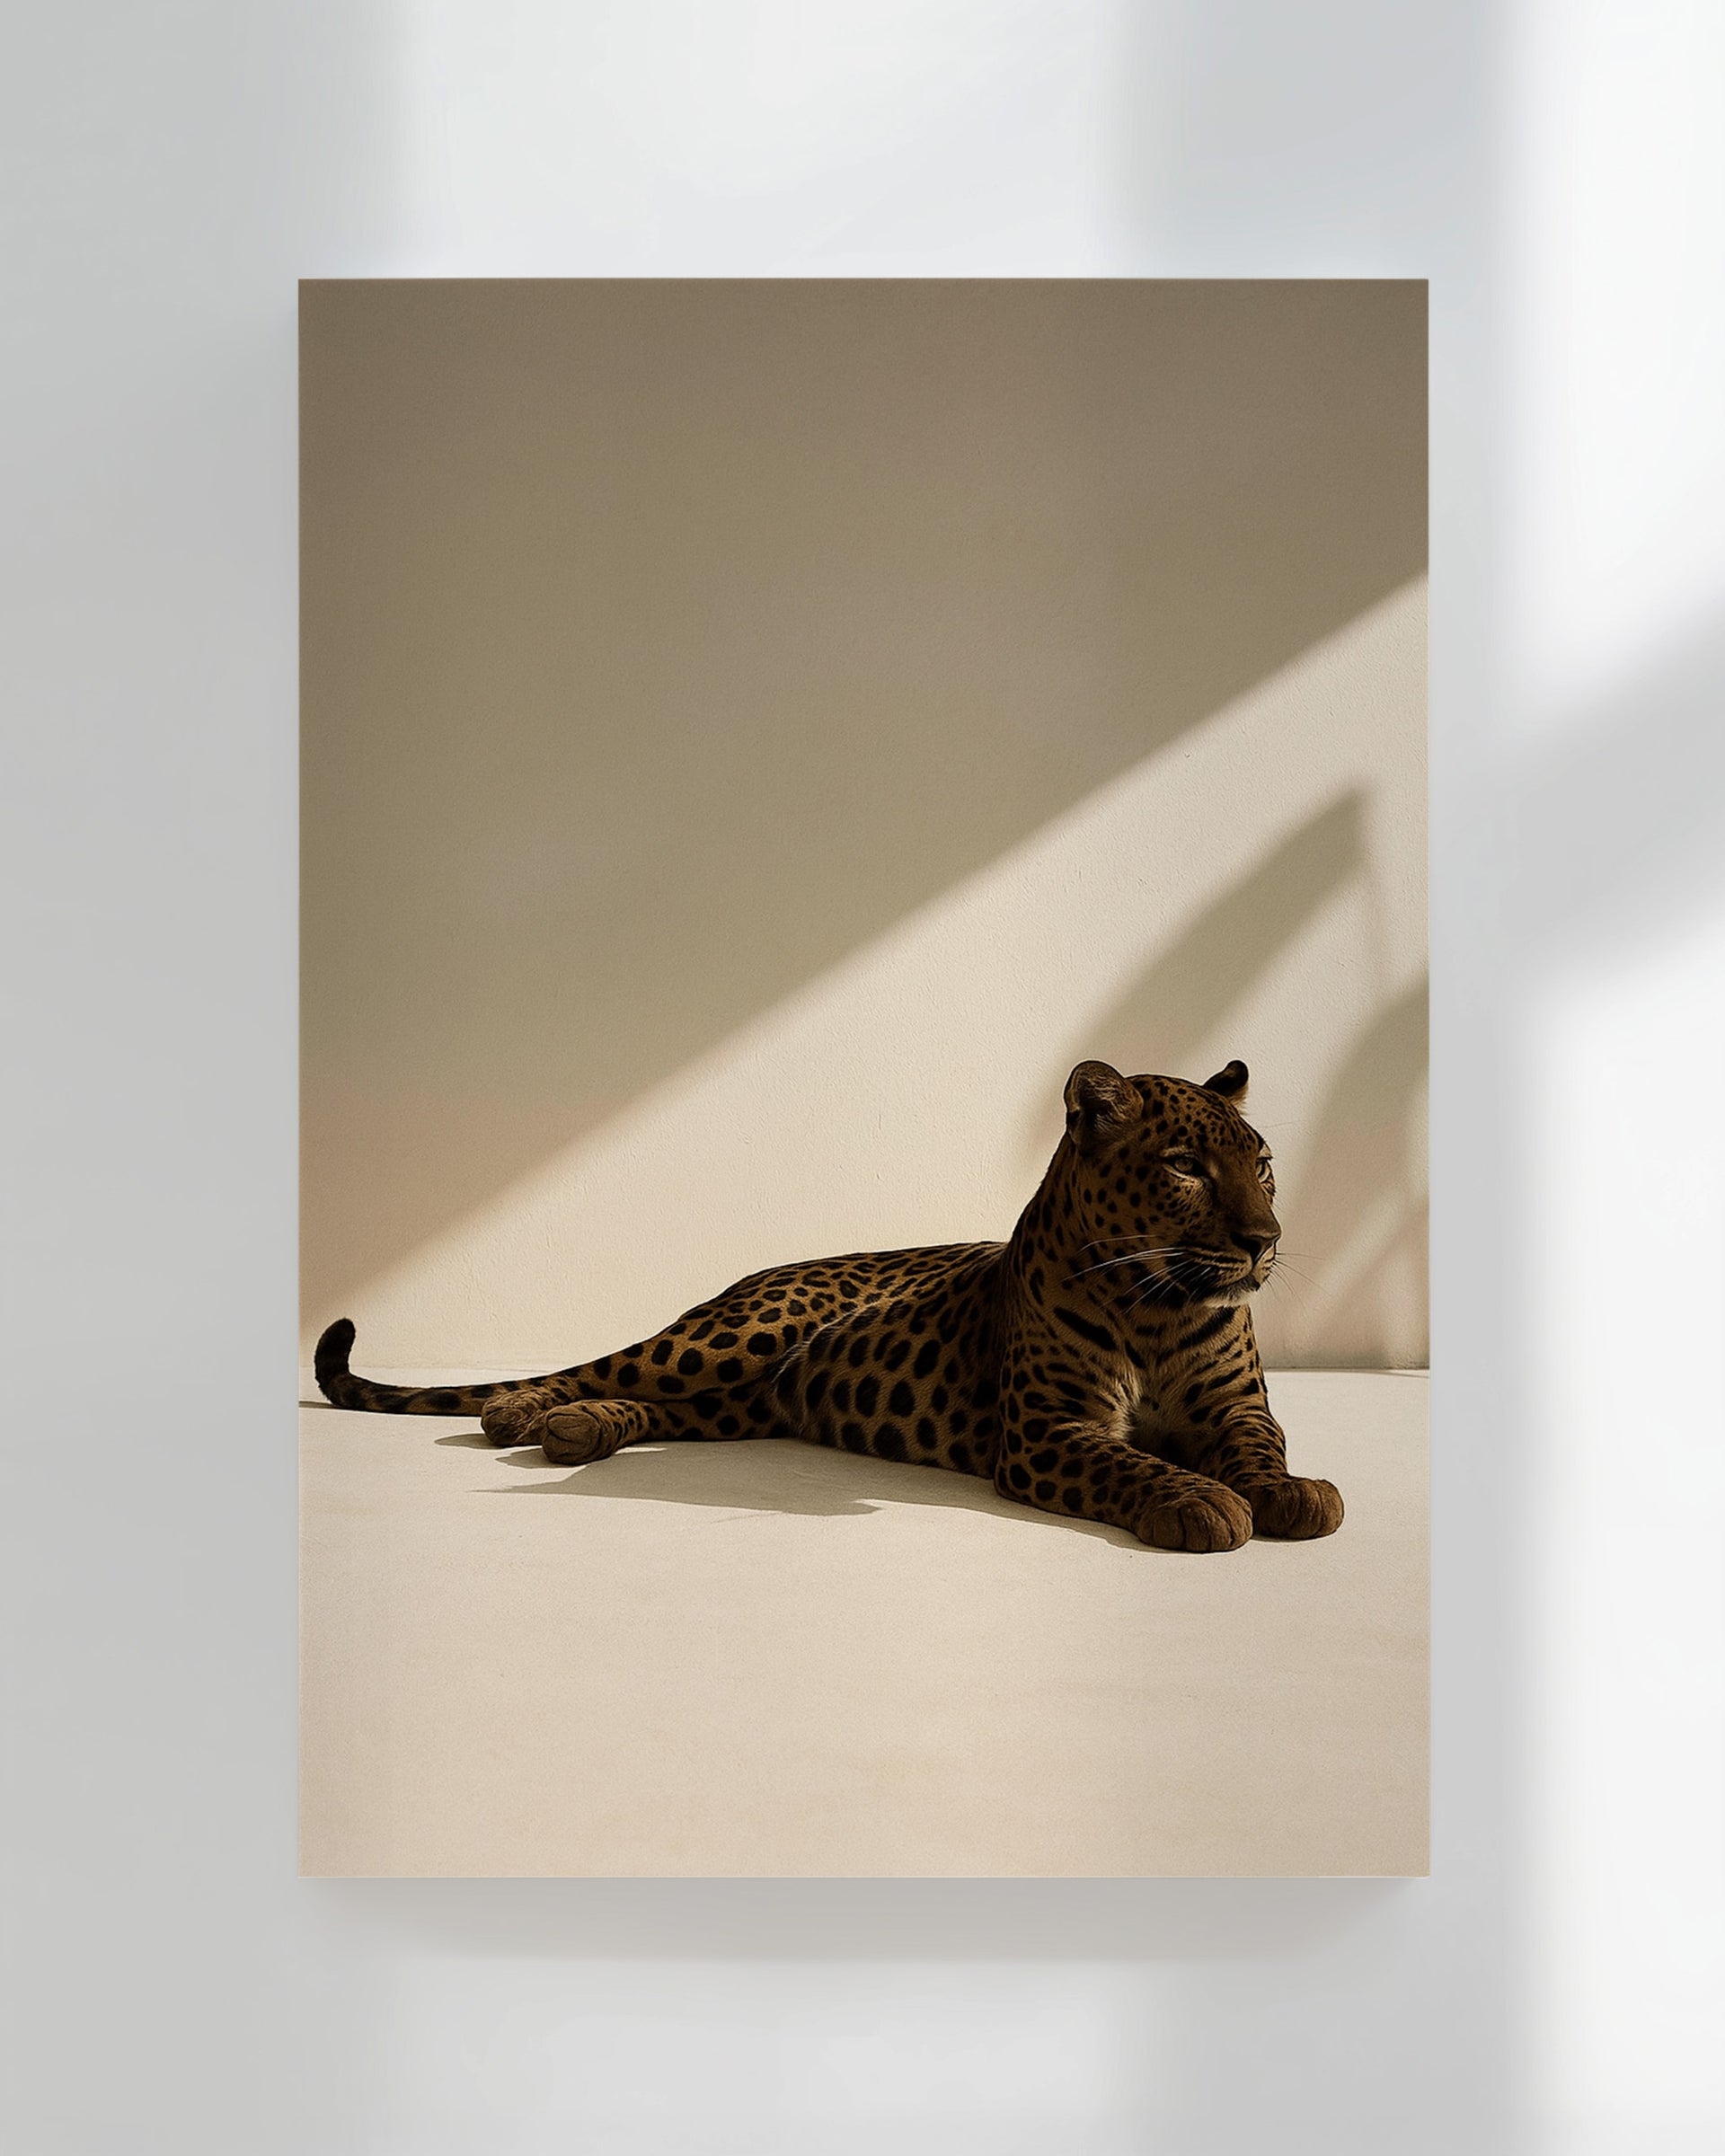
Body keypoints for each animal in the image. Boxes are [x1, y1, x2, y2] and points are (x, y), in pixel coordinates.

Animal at [314, 1059, 1343, 1553]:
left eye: (1262, 1163)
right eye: (1186, 1167)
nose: (1267, 1240)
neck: (1158, 1304)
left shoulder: (1235, 1404)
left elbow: (1259, 1449)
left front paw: (1290, 1492)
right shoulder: (1048, 1427)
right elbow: (1131, 1463)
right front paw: (1199, 1502)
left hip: (742, 1399)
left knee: (662, 1407)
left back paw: (577, 1431)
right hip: (735, 1335)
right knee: (607, 1365)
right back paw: (518, 1413)